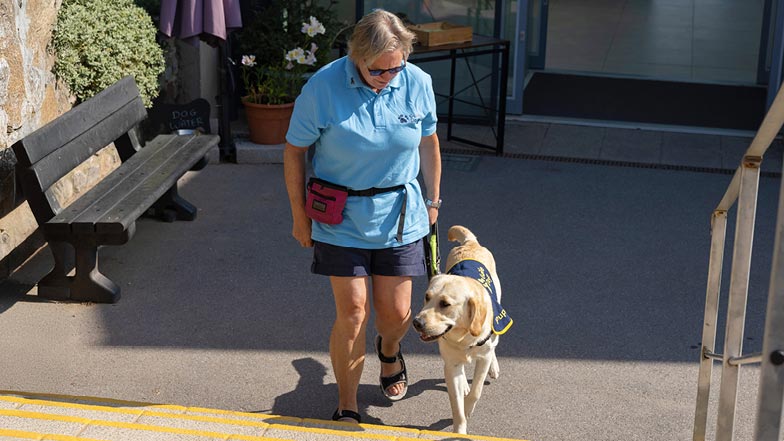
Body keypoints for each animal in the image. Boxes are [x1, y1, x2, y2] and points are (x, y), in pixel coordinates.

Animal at [413, 225, 513, 434]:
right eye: (427, 297)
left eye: (445, 304)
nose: (416, 322)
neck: (463, 337)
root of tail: (470, 243)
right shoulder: (450, 364)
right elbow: (455, 402)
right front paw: (460, 428)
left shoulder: (482, 358)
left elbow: (476, 391)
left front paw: (468, 409)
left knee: (494, 344)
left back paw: (493, 366)